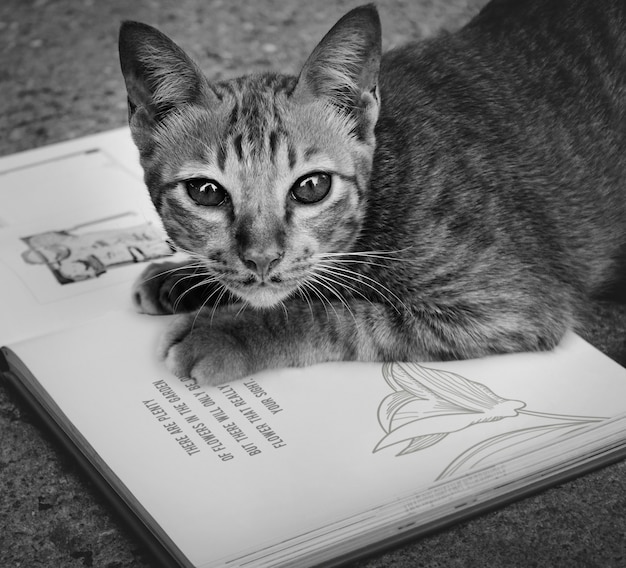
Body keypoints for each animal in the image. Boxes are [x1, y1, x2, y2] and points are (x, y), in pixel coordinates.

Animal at [119, 1, 624, 386]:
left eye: (312, 187)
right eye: (206, 192)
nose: (262, 259)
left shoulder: (508, 306)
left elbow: (339, 314)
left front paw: (231, 331)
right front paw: (184, 279)